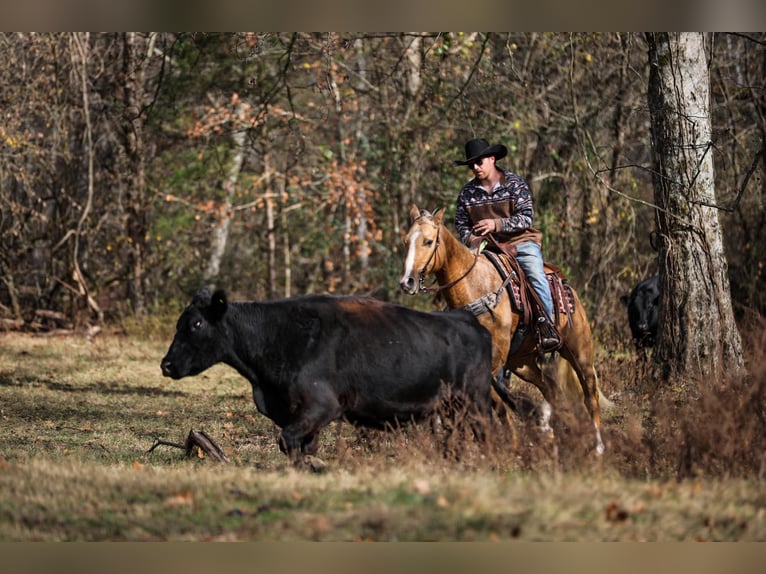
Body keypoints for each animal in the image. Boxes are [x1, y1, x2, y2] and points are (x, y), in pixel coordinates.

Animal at [163, 288, 498, 468]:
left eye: (195, 324)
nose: (166, 365)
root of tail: (466, 319)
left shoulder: (321, 405)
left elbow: (287, 441)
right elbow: (299, 446)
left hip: (475, 402)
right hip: (453, 408)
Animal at [402, 205, 608, 456]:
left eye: (429, 241)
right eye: (406, 241)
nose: (407, 282)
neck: (475, 287)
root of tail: (569, 290)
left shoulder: (495, 360)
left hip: (579, 351)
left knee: (590, 395)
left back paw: (598, 447)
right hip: (522, 362)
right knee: (550, 388)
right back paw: (550, 433)